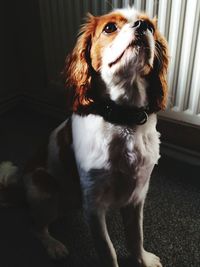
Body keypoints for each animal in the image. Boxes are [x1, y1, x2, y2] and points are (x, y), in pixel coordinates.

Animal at [0, 5, 169, 267]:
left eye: (151, 26)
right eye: (110, 27)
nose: (143, 26)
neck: (122, 118)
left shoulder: (137, 194)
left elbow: (135, 236)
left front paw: (143, 259)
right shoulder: (94, 206)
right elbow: (108, 251)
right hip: (43, 190)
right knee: (35, 227)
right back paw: (54, 245)